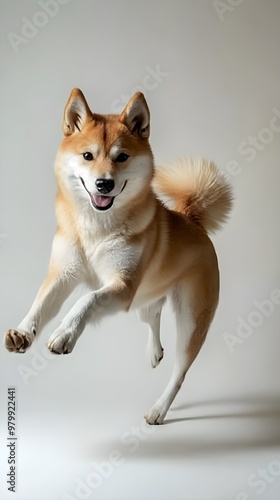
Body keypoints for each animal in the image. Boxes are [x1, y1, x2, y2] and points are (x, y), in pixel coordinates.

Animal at [3, 88, 232, 424]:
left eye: (121, 156)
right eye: (88, 155)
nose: (104, 183)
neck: (96, 228)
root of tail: (192, 219)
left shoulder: (121, 286)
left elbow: (87, 300)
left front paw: (66, 333)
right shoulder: (65, 273)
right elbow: (41, 303)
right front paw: (23, 332)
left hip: (190, 319)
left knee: (180, 371)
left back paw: (159, 409)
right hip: (142, 300)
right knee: (152, 314)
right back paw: (154, 352)